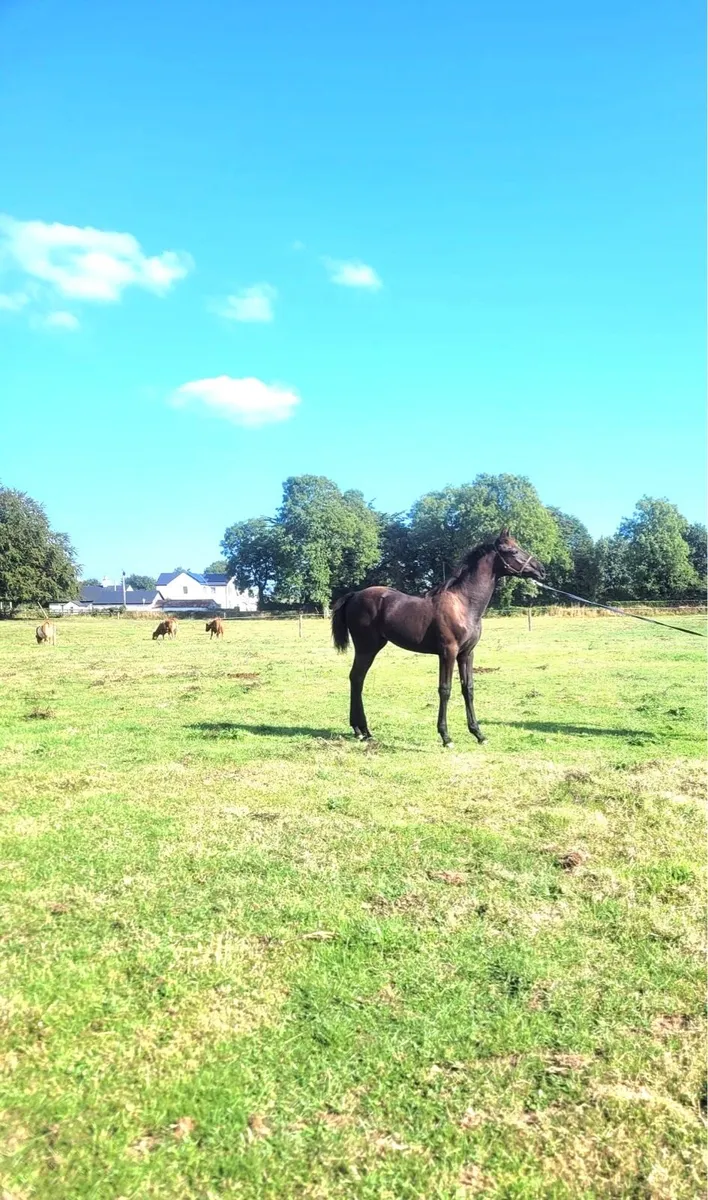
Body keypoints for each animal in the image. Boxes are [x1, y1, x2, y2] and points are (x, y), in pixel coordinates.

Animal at [331, 531, 545, 746]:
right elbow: (445, 689)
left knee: (357, 679)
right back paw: (362, 730)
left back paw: (361, 730)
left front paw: (478, 734)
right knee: (356, 678)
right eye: (513, 551)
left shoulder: (467, 653)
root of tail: (354, 595)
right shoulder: (448, 652)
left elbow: (468, 689)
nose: (541, 569)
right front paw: (446, 736)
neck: (463, 604)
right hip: (366, 647)